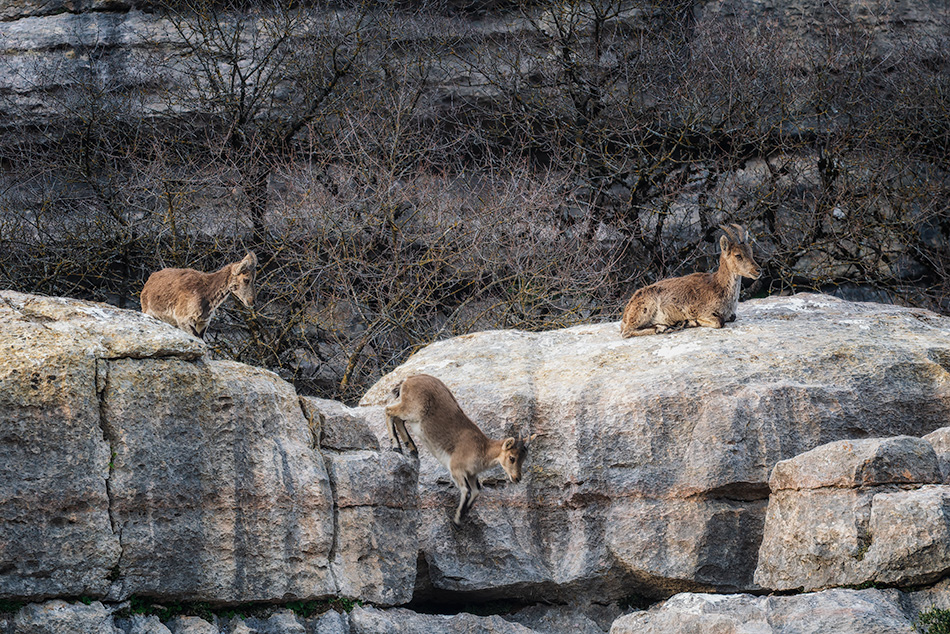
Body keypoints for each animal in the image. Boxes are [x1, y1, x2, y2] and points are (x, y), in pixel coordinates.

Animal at [385, 374, 536, 526]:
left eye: (524, 459)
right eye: (512, 457)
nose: (517, 478)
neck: (481, 449)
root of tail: (408, 379)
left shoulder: (471, 474)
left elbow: (476, 491)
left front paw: (463, 514)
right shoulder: (456, 468)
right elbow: (467, 490)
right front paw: (457, 519)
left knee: (398, 419)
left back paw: (411, 448)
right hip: (411, 408)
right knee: (389, 411)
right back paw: (396, 446)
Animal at [620, 224, 760, 338]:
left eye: (750, 252)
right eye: (738, 255)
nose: (758, 270)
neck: (719, 286)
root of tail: (627, 310)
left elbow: (732, 317)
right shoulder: (701, 310)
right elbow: (719, 322)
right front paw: (691, 321)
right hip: (645, 308)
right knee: (627, 332)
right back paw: (664, 328)